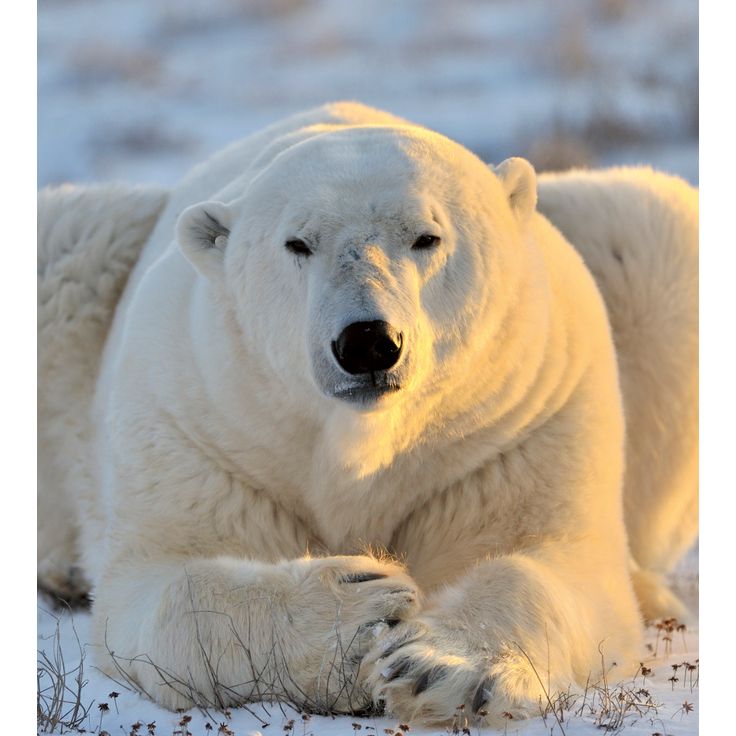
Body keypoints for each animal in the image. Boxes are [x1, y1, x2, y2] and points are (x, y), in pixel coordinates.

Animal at [37, 102, 698, 727]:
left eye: (427, 237)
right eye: (297, 243)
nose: (368, 342)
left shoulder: (522, 420)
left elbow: (550, 559)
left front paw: (439, 668)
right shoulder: (199, 419)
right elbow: (162, 583)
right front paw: (360, 610)